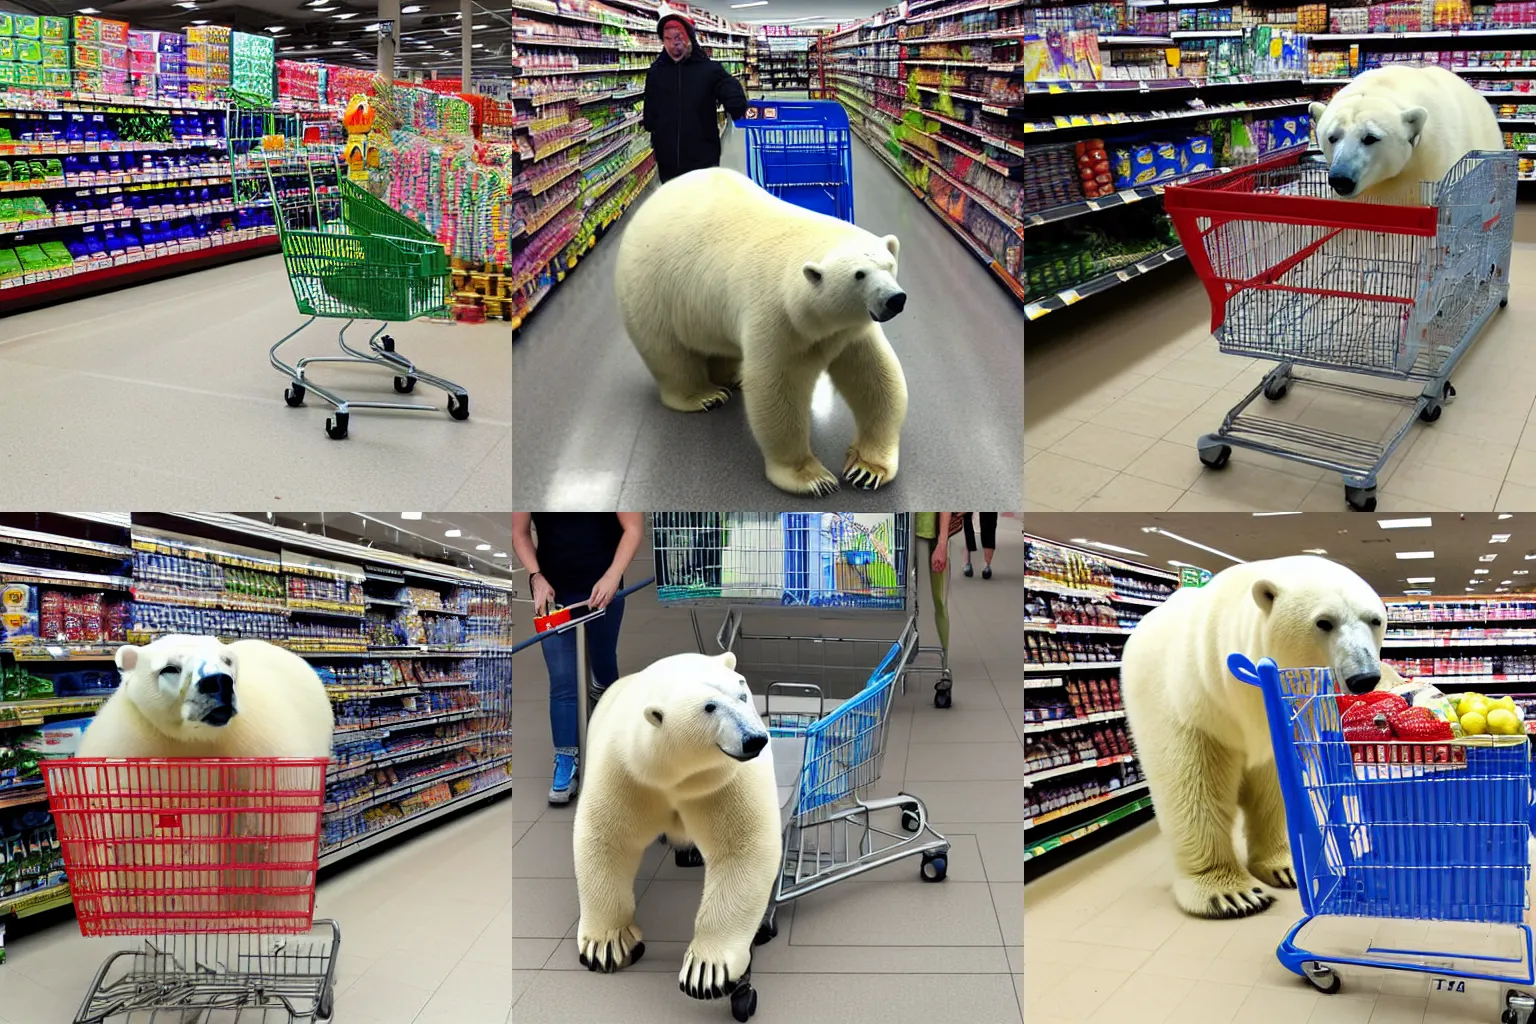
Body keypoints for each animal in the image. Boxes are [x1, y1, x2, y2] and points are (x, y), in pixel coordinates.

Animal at [574, 657, 780, 1000]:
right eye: (709, 707)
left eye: (743, 695)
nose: (754, 738)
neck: (670, 772)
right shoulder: (626, 771)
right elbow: (606, 838)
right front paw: (607, 945)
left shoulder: (722, 779)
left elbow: (742, 847)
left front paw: (706, 970)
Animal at [611, 167, 903, 497]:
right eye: (859, 275)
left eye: (889, 265)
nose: (895, 299)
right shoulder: (779, 319)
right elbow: (777, 390)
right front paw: (811, 478)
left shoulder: (849, 330)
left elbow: (877, 377)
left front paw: (866, 469)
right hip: (652, 293)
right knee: (669, 355)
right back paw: (704, 396)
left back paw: (731, 378)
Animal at [1124, 561, 1388, 921]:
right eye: (1324, 622)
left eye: (1375, 620)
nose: (1364, 678)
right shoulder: (1191, 706)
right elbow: (1191, 784)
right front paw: (1231, 894)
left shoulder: (1278, 731)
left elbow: (1277, 789)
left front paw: (1287, 867)